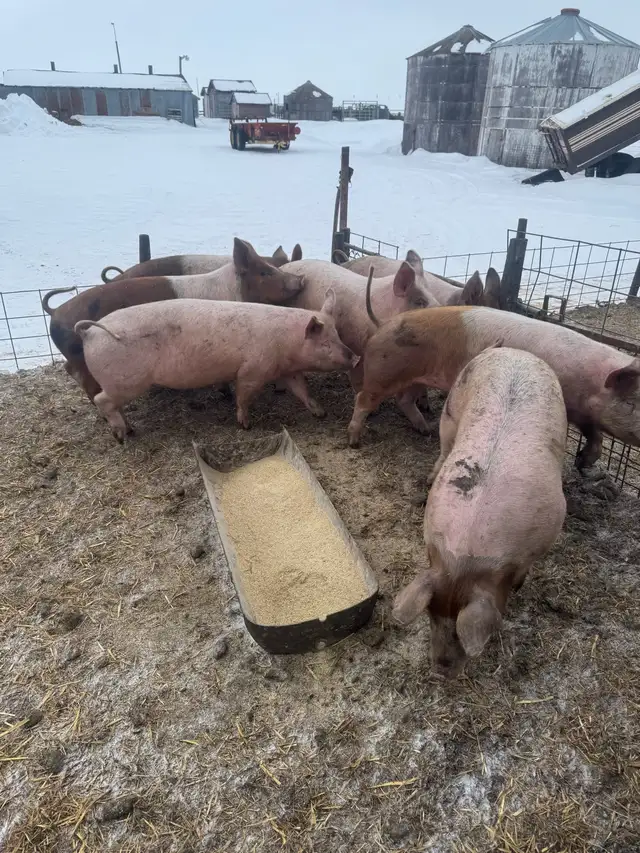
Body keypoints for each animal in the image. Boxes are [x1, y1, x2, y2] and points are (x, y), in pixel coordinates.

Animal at [42, 238, 305, 402]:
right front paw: (226, 394)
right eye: (265, 272)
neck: (234, 292)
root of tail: (56, 314)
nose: (300, 279)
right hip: (85, 360)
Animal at [74, 291, 358, 441]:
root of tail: (90, 333)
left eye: (337, 334)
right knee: (101, 400)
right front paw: (246, 425)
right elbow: (244, 397)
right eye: (326, 342)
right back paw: (122, 436)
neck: (287, 343)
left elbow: (302, 390)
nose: (355, 357)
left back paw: (130, 429)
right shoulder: (252, 371)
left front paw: (320, 413)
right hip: (127, 381)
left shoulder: (287, 370)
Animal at [347, 303, 640, 476]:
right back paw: (354, 441)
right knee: (363, 399)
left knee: (404, 400)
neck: (590, 386)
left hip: (415, 377)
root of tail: (383, 324)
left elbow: (595, 435)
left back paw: (426, 430)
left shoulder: (583, 412)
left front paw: (582, 463)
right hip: (385, 371)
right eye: (634, 402)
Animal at [392, 347, 567, 678]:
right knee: (443, 448)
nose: (441, 671)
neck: (466, 558)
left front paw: (520, 586)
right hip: (450, 413)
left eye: (460, 634)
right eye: (431, 617)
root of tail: (514, 351)